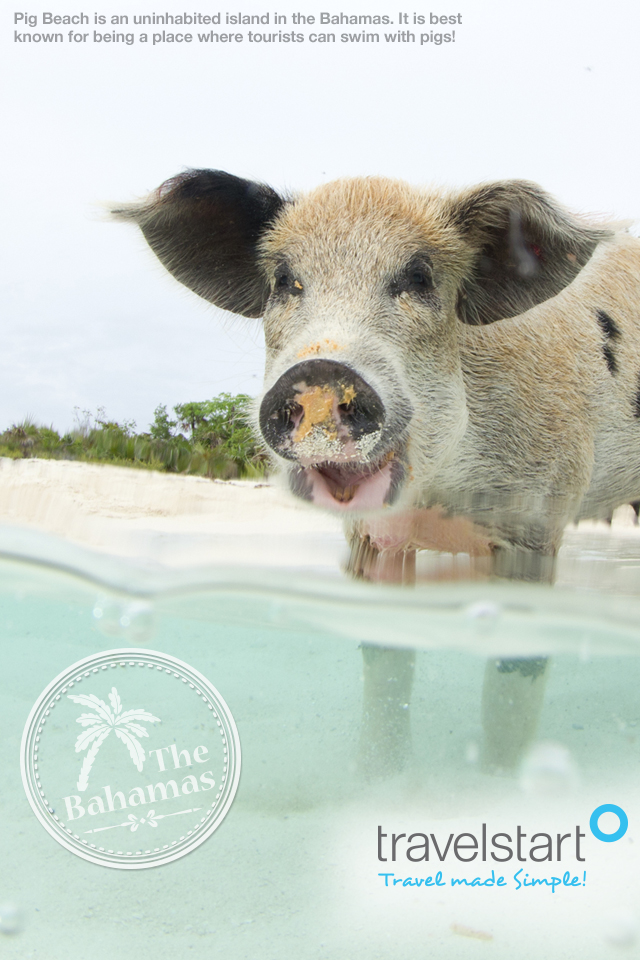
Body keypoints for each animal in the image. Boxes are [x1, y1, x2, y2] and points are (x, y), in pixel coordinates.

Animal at [114, 170, 640, 774]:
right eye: (284, 280)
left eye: (420, 278)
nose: (323, 370)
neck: (439, 499)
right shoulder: (372, 539)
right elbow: (385, 658)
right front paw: (379, 780)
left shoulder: (537, 518)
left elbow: (514, 668)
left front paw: (498, 780)